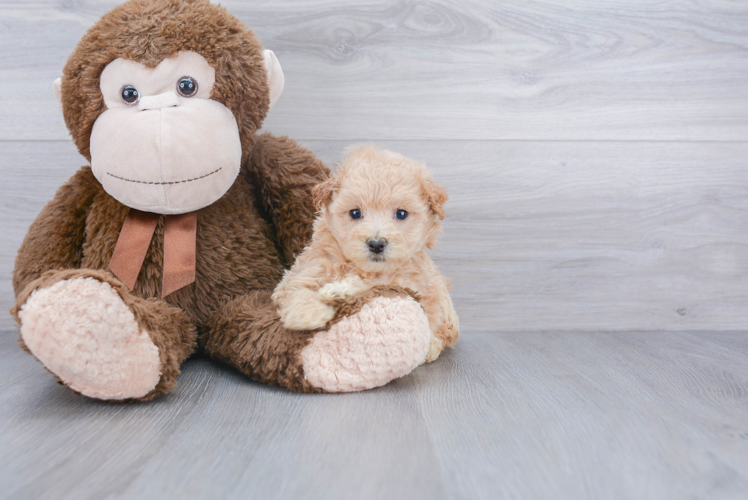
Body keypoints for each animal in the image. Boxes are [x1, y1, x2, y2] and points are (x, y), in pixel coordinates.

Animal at [272, 145, 458, 364]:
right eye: (355, 213)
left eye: (401, 214)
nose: (376, 244)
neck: (360, 267)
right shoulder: (307, 269)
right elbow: (297, 289)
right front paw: (308, 314)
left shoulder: (411, 283)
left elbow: (374, 284)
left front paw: (339, 290)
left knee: (444, 331)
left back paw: (431, 347)